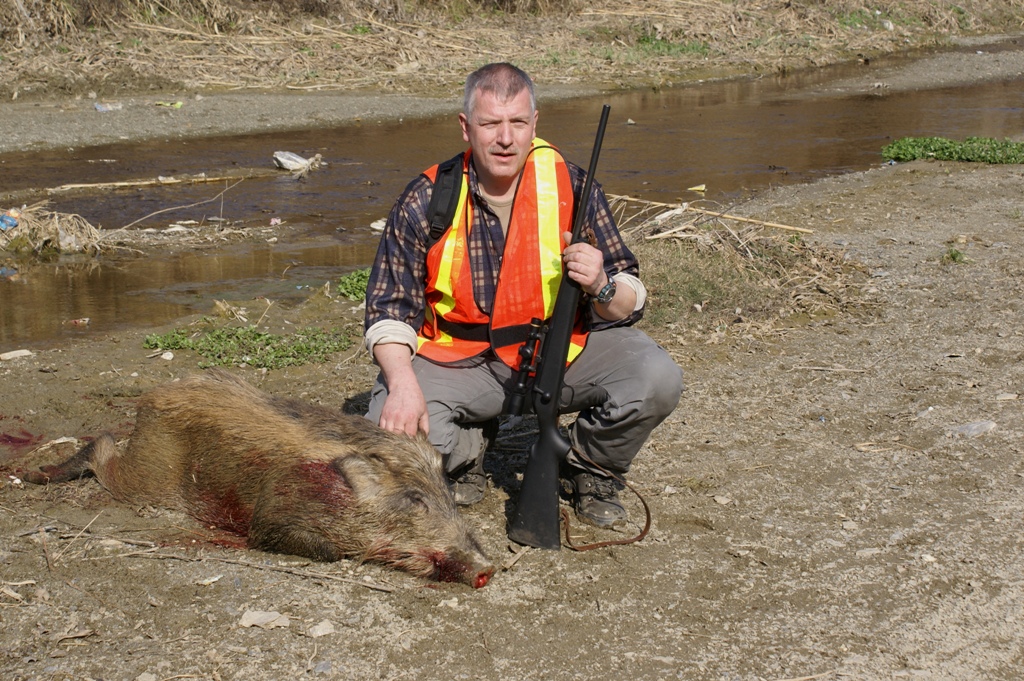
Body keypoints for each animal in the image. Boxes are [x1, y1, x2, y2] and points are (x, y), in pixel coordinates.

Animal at [24, 369, 494, 588]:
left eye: (446, 492)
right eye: (415, 500)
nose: (489, 567)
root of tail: (152, 397)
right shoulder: (270, 517)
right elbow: (326, 551)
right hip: (145, 476)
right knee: (102, 446)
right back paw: (35, 475)